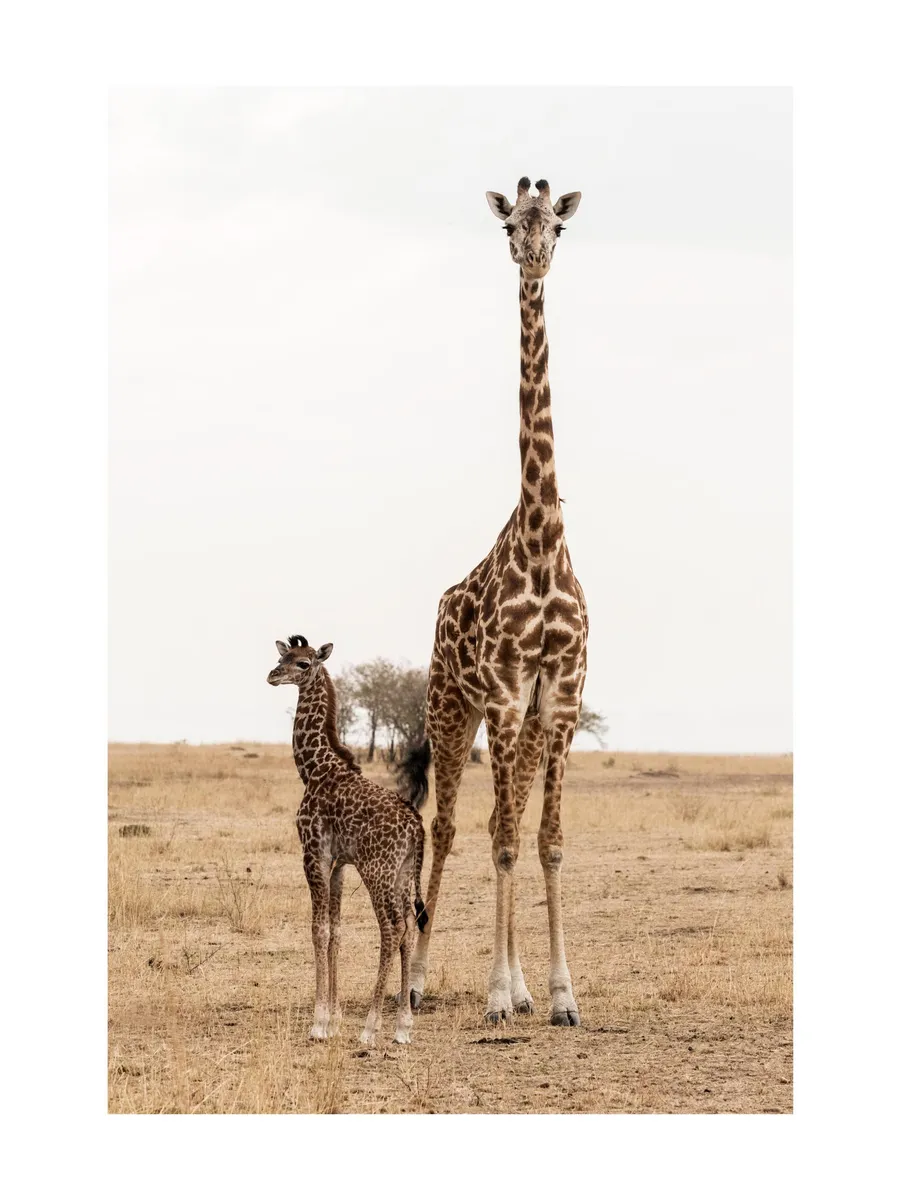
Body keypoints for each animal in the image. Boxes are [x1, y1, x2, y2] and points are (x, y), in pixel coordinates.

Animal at [267, 634, 431, 1045]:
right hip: (402, 873)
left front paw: (319, 1022)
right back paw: (402, 1027)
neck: (313, 768)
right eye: (283, 655)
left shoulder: (313, 854)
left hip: (377, 871)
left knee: (393, 928)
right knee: (408, 926)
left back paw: (371, 1028)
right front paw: (335, 1019)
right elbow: (336, 932)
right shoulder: (340, 863)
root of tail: (416, 826)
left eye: (304, 663)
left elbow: (318, 929)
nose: (272, 675)